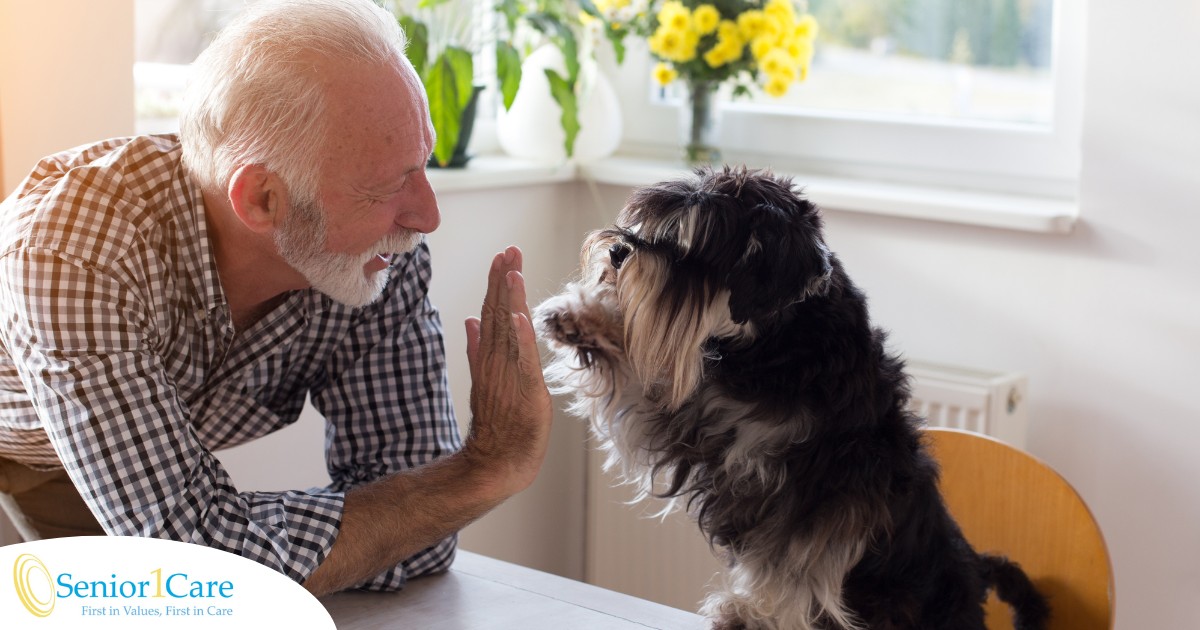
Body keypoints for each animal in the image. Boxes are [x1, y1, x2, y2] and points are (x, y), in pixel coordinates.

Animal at [535, 165, 1051, 628]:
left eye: (695, 246)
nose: (617, 250)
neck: (777, 345)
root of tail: (976, 573)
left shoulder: (824, 492)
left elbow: (794, 563)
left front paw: (753, 614)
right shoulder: (694, 417)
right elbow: (640, 380)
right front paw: (579, 317)